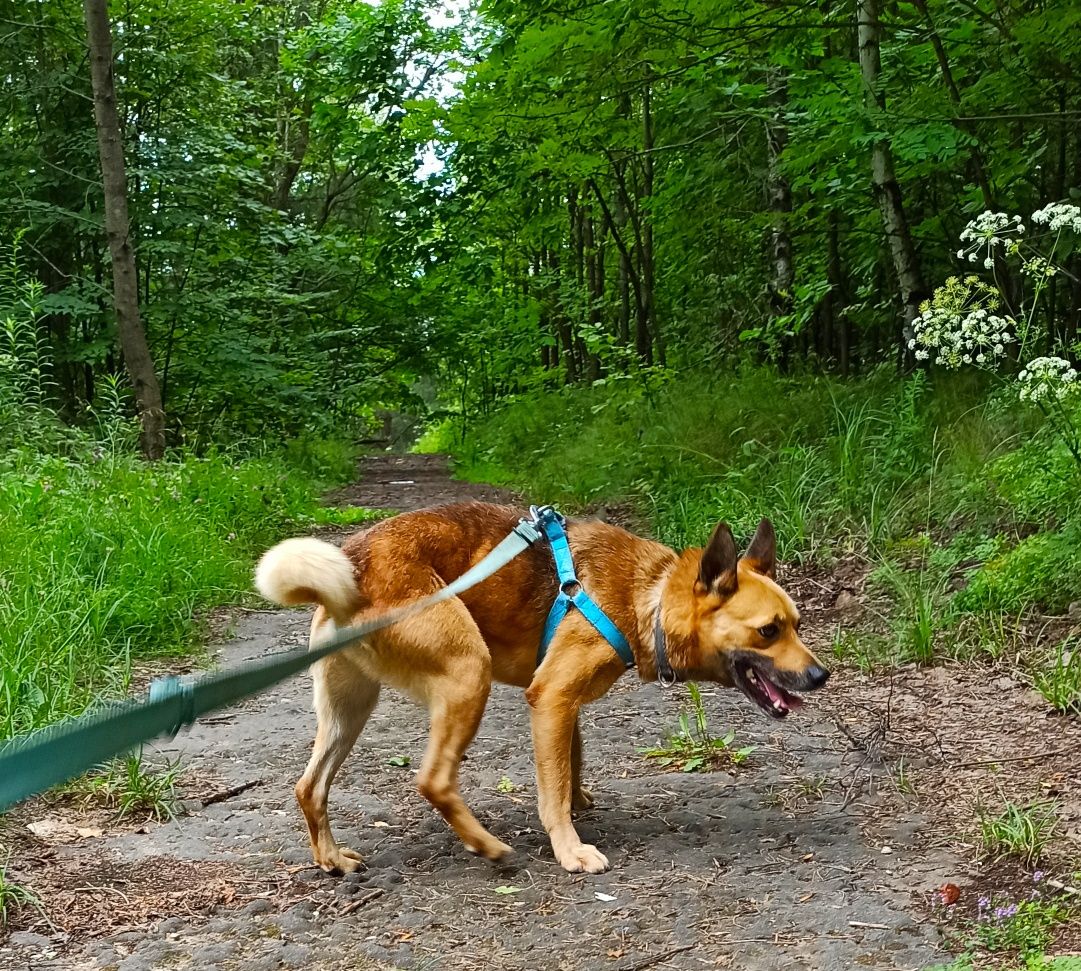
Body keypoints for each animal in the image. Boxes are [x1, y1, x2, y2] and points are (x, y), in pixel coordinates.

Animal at [257, 503, 830, 873]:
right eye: (768, 631)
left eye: (798, 624)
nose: (821, 676)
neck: (648, 598)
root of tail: (352, 570)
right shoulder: (551, 697)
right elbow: (550, 792)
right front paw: (570, 849)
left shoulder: (563, 705)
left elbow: (570, 764)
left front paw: (578, 802)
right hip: (469, 675)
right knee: (433, 781)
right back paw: (488, 847)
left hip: (350, 710)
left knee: (309, 786)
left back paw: (331, 858)